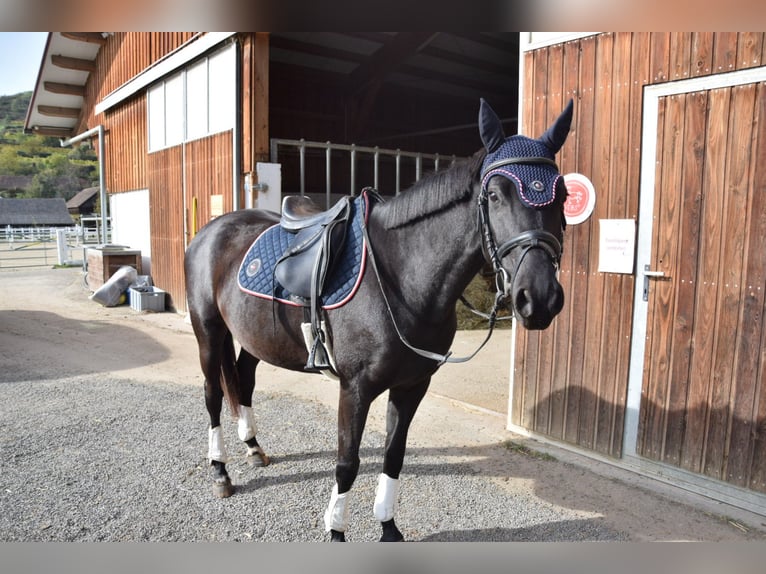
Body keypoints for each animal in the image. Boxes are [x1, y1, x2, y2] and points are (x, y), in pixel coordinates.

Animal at [183, 97, 572, 544]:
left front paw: (388, 527)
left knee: (244, 380)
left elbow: (393, 455)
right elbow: (347, 462)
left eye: (563, 193)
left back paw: (253, 448)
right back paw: (220, 471)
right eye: (494, 194)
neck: (401, 277)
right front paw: (336, 532)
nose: (539, 298)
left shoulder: (412, 386)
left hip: (256, 337)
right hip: (209, 332)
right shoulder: (355, 388)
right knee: (213, 395)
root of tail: (210, 230)